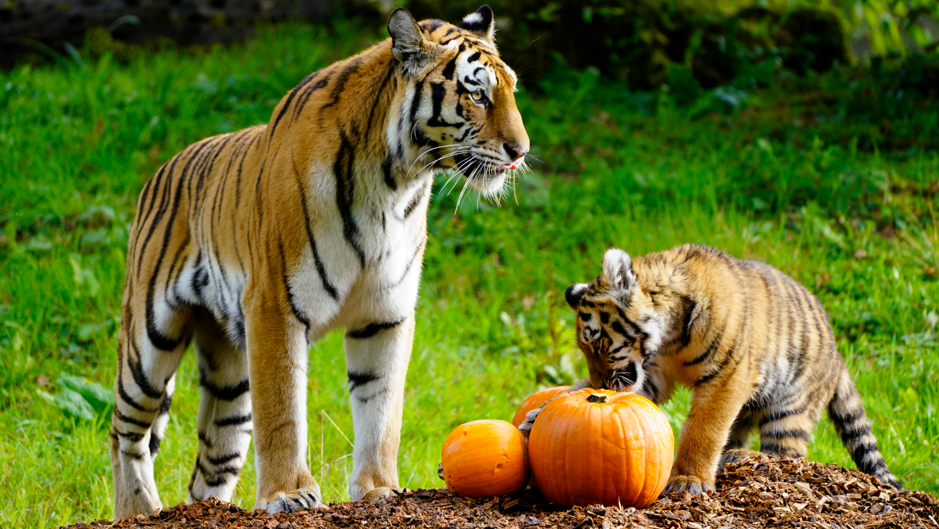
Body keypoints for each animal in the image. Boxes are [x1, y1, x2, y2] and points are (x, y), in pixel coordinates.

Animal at [110, 6, 528, 520]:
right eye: (476, 94)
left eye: (510, 90)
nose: (521, 151)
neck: (396, 181)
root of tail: (162, 170)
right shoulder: (274, 307)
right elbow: (283, 412)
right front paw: (287, 494)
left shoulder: (385, 314)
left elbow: (382, 408)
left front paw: (379, 489)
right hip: (149, 339)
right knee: (126, 431)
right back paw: (138, 510)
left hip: (231, 375)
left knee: (212, 459)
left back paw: (209, 512)